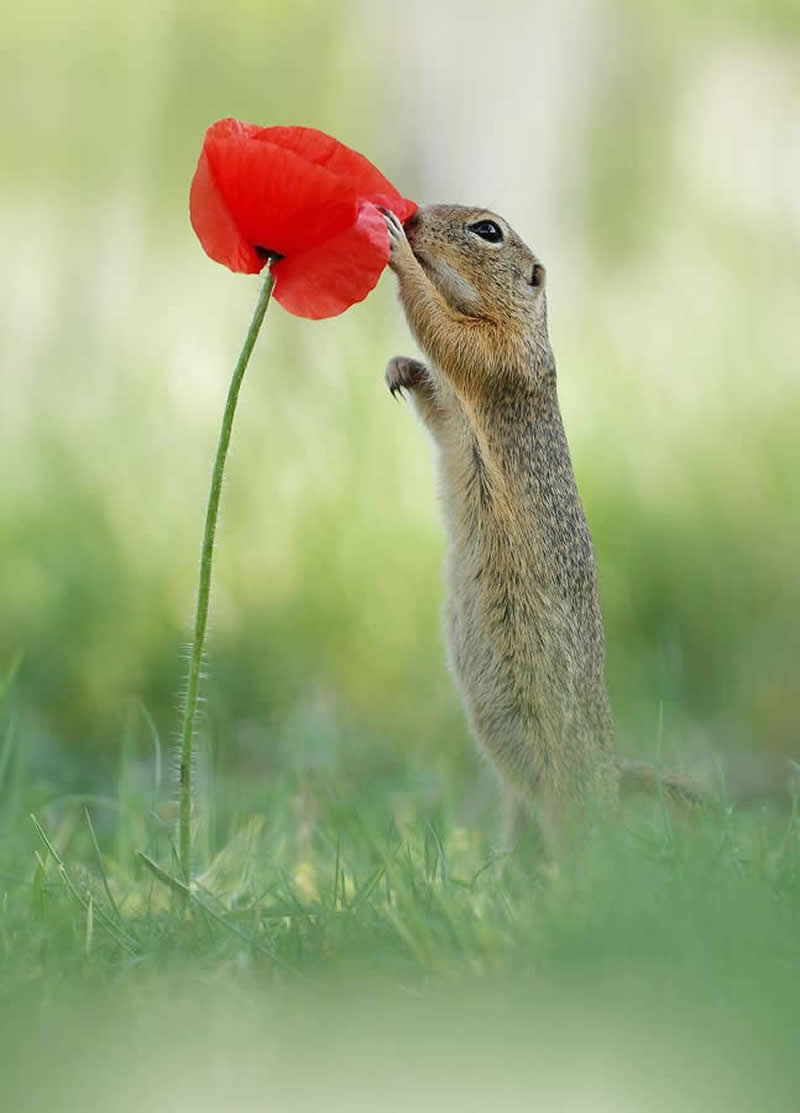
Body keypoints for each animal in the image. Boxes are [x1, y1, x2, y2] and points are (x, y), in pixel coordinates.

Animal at [382, 205, 700, 850]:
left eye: (487, 231)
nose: (414, 215)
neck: (524, 325)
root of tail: (609, 776)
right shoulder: (454, 410)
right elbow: (436, 393)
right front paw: (401, 368)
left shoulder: (494, 357)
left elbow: (442, 329)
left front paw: (398, 252)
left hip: (572, 797)